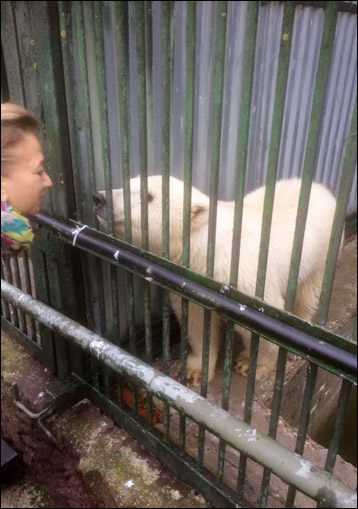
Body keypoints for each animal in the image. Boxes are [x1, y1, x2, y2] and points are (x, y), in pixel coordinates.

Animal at [94, 176, 338, 384]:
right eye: (127, 182)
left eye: (148, 196)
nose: (99, 198)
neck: (206, 250)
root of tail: (322, 189)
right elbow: (197, 322)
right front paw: (195, 370)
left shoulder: (246, 280)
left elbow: (264, 328)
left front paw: (249, 364)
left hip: (321, 254)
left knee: (307, 295)